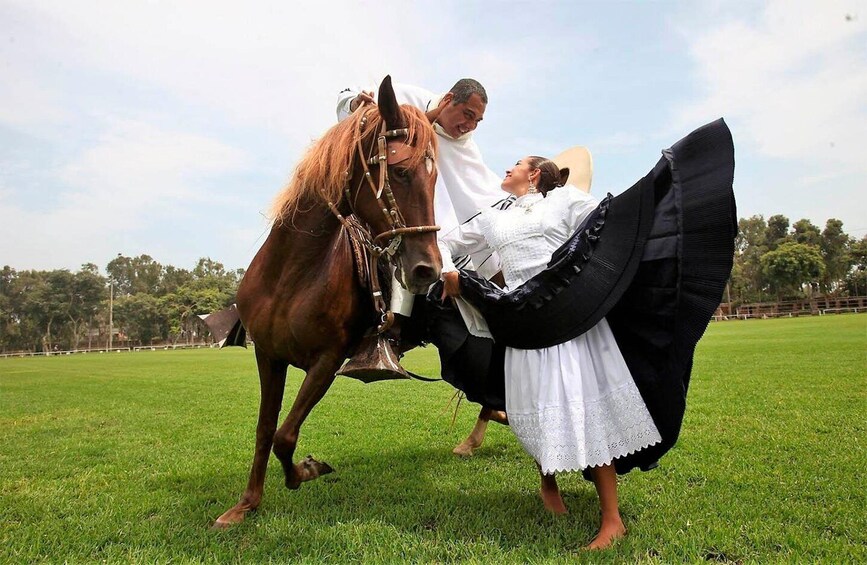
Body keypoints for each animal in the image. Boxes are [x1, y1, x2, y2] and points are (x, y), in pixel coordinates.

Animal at [211, 77, 440, 528]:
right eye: (400, 171)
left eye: (436, 177)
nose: (428, 269)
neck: (291, 274)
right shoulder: (268, 355)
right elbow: (266, 429)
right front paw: (247, 503)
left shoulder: (327, 361)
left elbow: (285, 435)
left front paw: (306, 471)